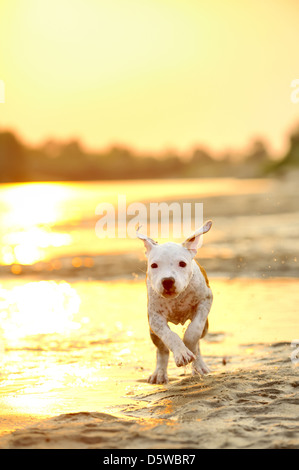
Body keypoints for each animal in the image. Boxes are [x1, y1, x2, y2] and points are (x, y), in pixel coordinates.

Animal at [138, 222, 213, 384]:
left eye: (182, 263)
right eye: (154, 265)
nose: (167, 281)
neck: (177, 298)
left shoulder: (205, 301)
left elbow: (193, 331)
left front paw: (189, 347)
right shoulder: (155, 319)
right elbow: (169, 336)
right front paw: (182, 353)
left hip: (206, 326)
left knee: (198, 340)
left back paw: (199, 366)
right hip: (152, 332)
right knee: (162, 350)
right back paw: (159, 373)